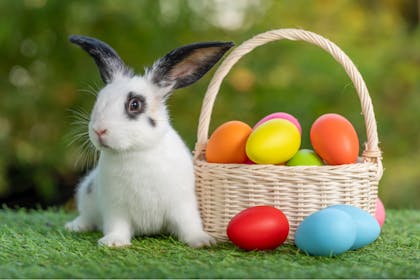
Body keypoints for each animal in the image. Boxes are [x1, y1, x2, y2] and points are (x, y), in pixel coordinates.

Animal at [65, 35, 233, 247]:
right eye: (99, 100)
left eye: (135, 104)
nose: (98, 130)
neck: (136, 151)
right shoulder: (115, 207)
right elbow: (117, 226)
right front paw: (113, 242)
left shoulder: (182, 203)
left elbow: (189, 224)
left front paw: (202, 241)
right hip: (87, 193)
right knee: (86, 217)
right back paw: (74, 226)